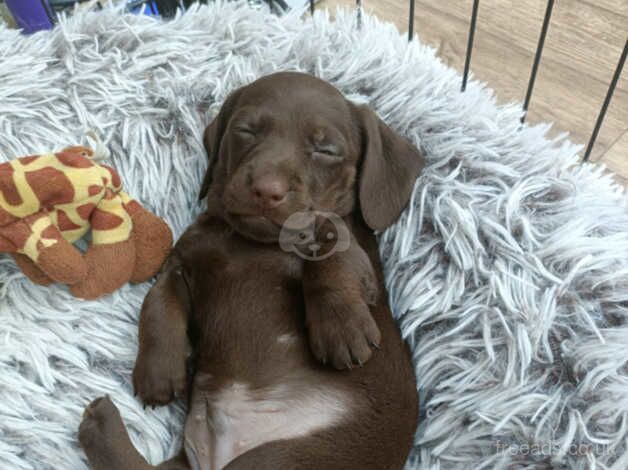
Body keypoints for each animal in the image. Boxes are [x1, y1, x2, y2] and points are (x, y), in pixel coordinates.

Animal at [77, 71, 422, 470]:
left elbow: (332, 251)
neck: (254, 242)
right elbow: (157, 305)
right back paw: (100, 424)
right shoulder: (179, 267)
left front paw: (342, 326)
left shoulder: (354, 251)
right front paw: (158, 370)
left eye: (326, 150)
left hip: (288, 457)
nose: (266, 190)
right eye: (246, 130)